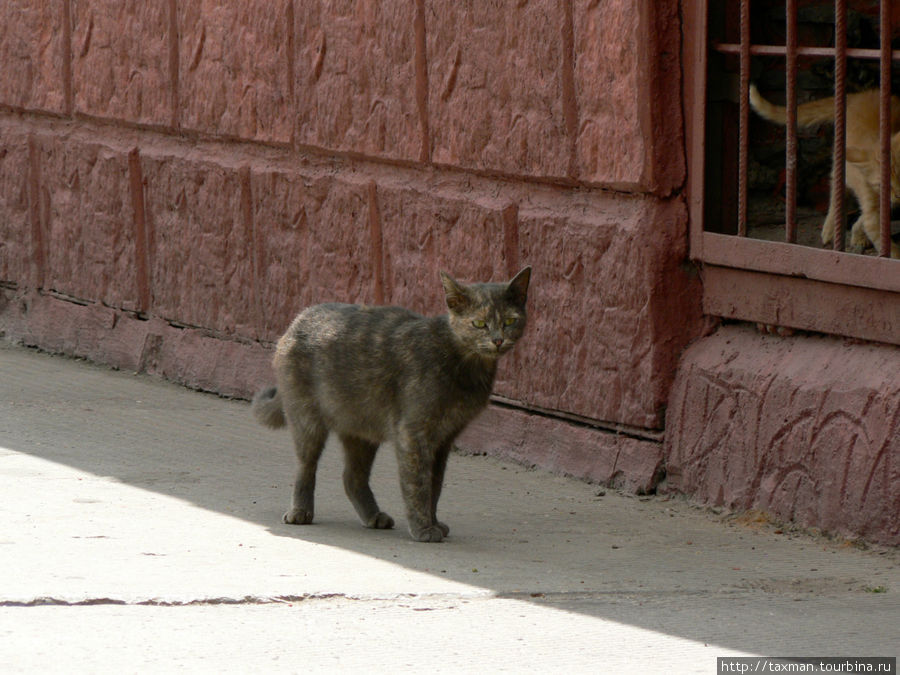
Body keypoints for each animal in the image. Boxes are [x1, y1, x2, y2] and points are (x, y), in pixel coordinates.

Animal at [253, 266, 532, 540]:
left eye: (510, 321)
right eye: (479, 323)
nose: (498, 340)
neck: (464, 365)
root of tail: (298, 319)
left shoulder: (444, 438)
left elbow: (435, 485)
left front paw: (433, 522)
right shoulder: (414, 432)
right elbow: (418, 484)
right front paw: (423, 529)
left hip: (361, 428)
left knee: (352, 476)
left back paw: (374, 517)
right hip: (306, 417)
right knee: (305, 465)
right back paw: (300, 512)